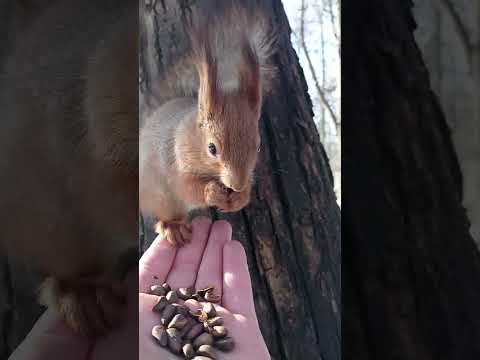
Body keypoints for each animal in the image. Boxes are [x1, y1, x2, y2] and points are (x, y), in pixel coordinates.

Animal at [139, 0, 276, 245]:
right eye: (212, 148)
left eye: (258, 146)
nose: (237, 184)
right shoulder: (174, 163)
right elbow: (187, 188)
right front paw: (212, 193)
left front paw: (241, 197)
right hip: (158, 195)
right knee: (167, 213)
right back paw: (173, 228)